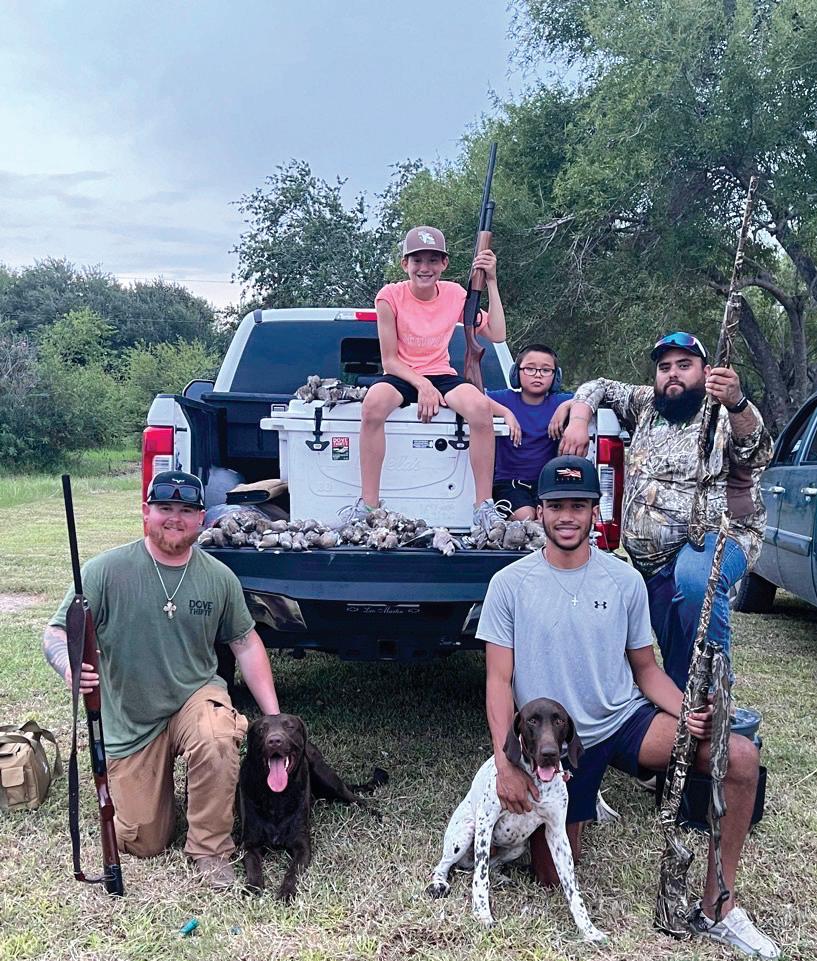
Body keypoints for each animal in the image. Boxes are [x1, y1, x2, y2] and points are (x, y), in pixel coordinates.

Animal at [239, 713, 387, 901]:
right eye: (261, 730)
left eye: (289, 726)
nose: (274, 741)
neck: (276, 796)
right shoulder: (250, 844)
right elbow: (254, 868)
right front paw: (253, 889)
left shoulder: (302, 845)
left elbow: (293, 872)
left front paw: (286, 892)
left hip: (326, 777)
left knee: (355, 798)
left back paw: (377, 815)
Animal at [426, 697, 606, 940]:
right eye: (532, 720)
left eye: (559, 721)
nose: (549, 753)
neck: (535, 781)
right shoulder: (486, 822)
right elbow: (480, 878)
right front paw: (482, 914)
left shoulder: (557, 834)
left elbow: (572, 888)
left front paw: (588, 929)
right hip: (466, 832)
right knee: (448, 865)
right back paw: (438, 883)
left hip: (517, 847)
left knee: (490, 865)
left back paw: (501, 878)